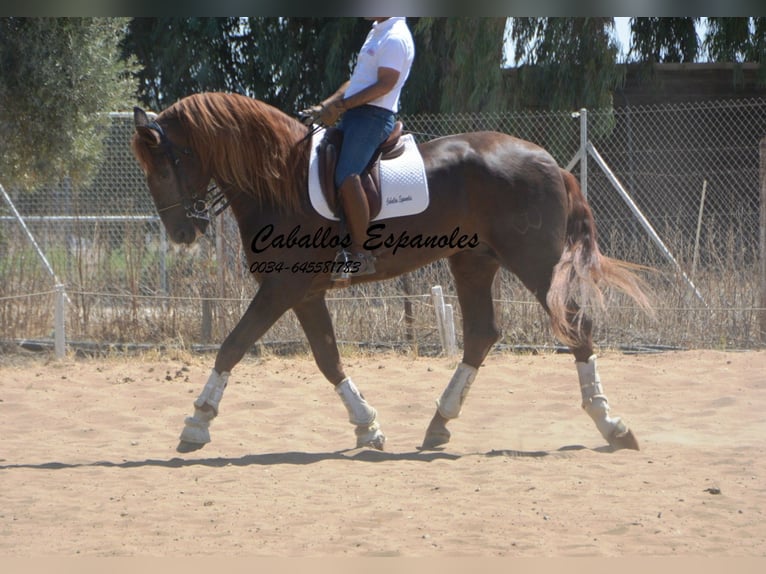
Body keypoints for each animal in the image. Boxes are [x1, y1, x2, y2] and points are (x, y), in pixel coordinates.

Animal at [135, 93, 652, 454]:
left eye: (162, 168)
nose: (182, 232)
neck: (279, 180)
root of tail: (548, 161)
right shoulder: (304, 294)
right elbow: (328, 359)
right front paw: (367, 426)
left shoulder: (282, 287)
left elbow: (233, 345)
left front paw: (197, 422)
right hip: (474, 262)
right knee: (481, 335)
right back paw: (439, 423)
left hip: (534, 261)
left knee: (576, 326)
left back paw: (612, 425)